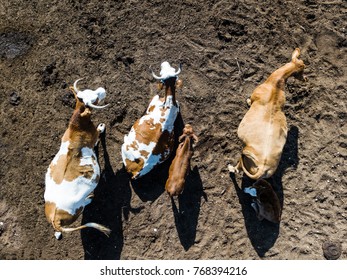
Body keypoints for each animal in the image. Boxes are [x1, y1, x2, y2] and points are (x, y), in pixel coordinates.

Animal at [44, 78, 111, 238]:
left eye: (90, 91)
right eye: (95, 99)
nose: (103, 89)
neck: (78, 127)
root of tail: (55, 219)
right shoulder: (94, 138)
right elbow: (99, 135)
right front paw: (102, 127)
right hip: (78, 208)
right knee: (85, 204)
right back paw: (90, 198)